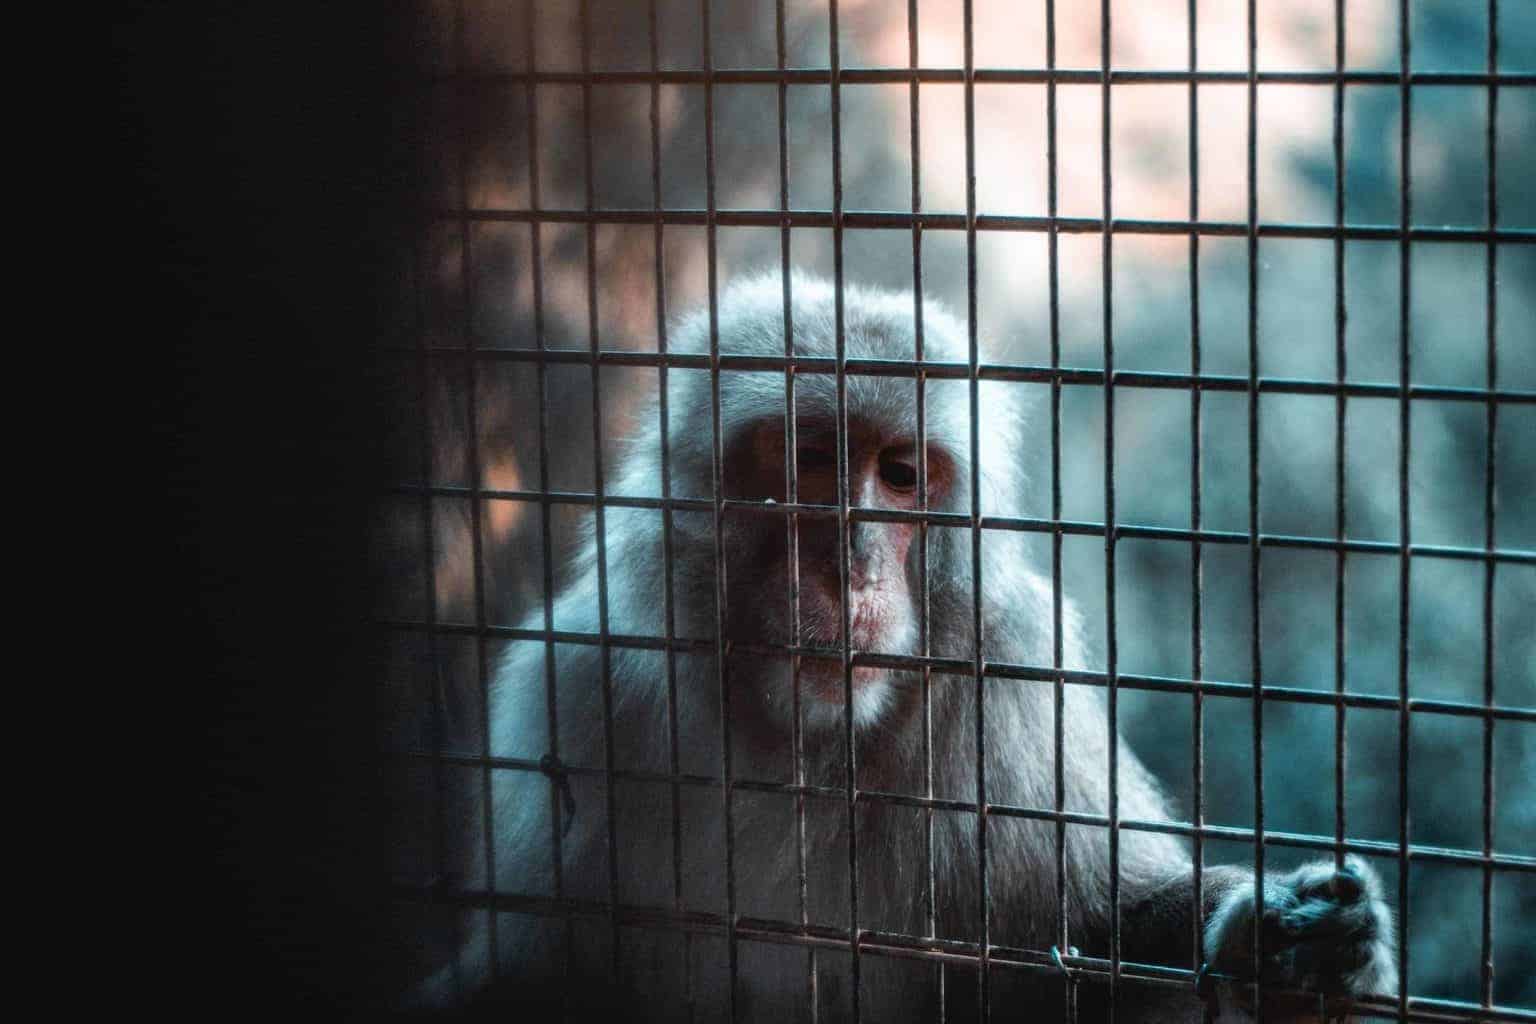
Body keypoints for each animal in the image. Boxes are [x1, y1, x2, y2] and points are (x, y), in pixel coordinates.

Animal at [411, 273, 1396, 1021]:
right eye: (808, 459)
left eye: (900, 474)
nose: (850, 567)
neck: (807, 746)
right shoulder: (572, 695)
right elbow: (532, 973)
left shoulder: (1017, 688)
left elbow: (1092, 934)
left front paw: (1273, 951)